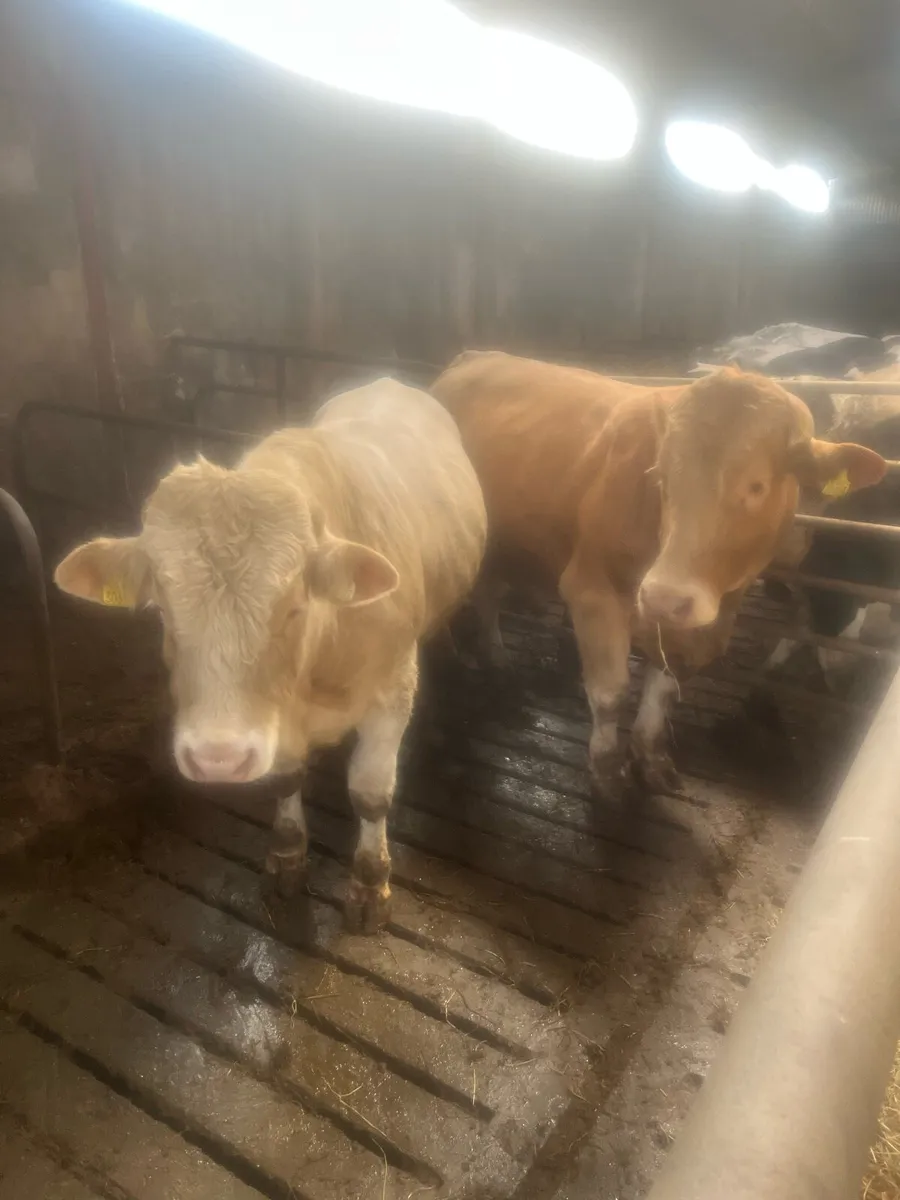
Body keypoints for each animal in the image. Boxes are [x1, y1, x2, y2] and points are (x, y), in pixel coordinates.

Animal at [54, 378, 487, 932]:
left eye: (294, 607)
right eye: (162, 609)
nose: (216, 758)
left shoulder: (391, 691)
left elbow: (371, 793)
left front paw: (370, 886)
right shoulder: (272, 716)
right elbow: (285, 779)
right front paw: (286, 859)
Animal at [432, 350, 885, 791]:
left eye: (757, 486)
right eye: (661, 477)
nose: (664, 597)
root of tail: (473, 357)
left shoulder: (698, 625)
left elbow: (663, 690)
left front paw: (651, 757)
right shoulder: (591, 590)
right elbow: (610, 693)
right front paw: (607, 768)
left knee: (488, 593)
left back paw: (495, 661)